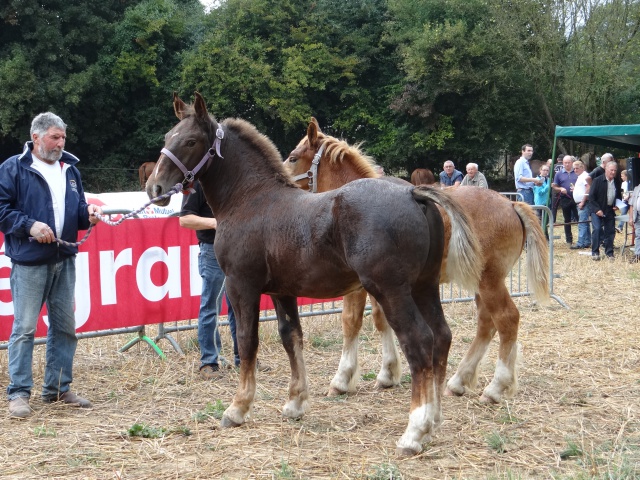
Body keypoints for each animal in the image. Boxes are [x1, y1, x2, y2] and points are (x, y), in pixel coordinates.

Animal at [146, 93, 484, 454]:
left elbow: (247, 341)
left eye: (191, 141)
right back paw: (433, 419)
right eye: (168, 137)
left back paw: (415, 431)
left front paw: (238, 408)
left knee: (420, 342)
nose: (155, 187)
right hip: (424, 286)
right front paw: (295, 402)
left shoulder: (241, 286)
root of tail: (413, 192)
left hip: (392, 290)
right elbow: (291, 337)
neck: (251, 200)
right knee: (441, 336)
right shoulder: (282, 291)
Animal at [284, 118, 552, 404]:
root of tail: (511, 205)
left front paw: (342, 379)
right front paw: (388, 373)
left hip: (489, 281)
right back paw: (459, 380)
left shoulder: (359, 287)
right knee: (486, 323)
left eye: (293, 157)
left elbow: (351, 321)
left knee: (506, 319)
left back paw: (496, 387)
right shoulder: (382, 285)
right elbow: (380, 320)